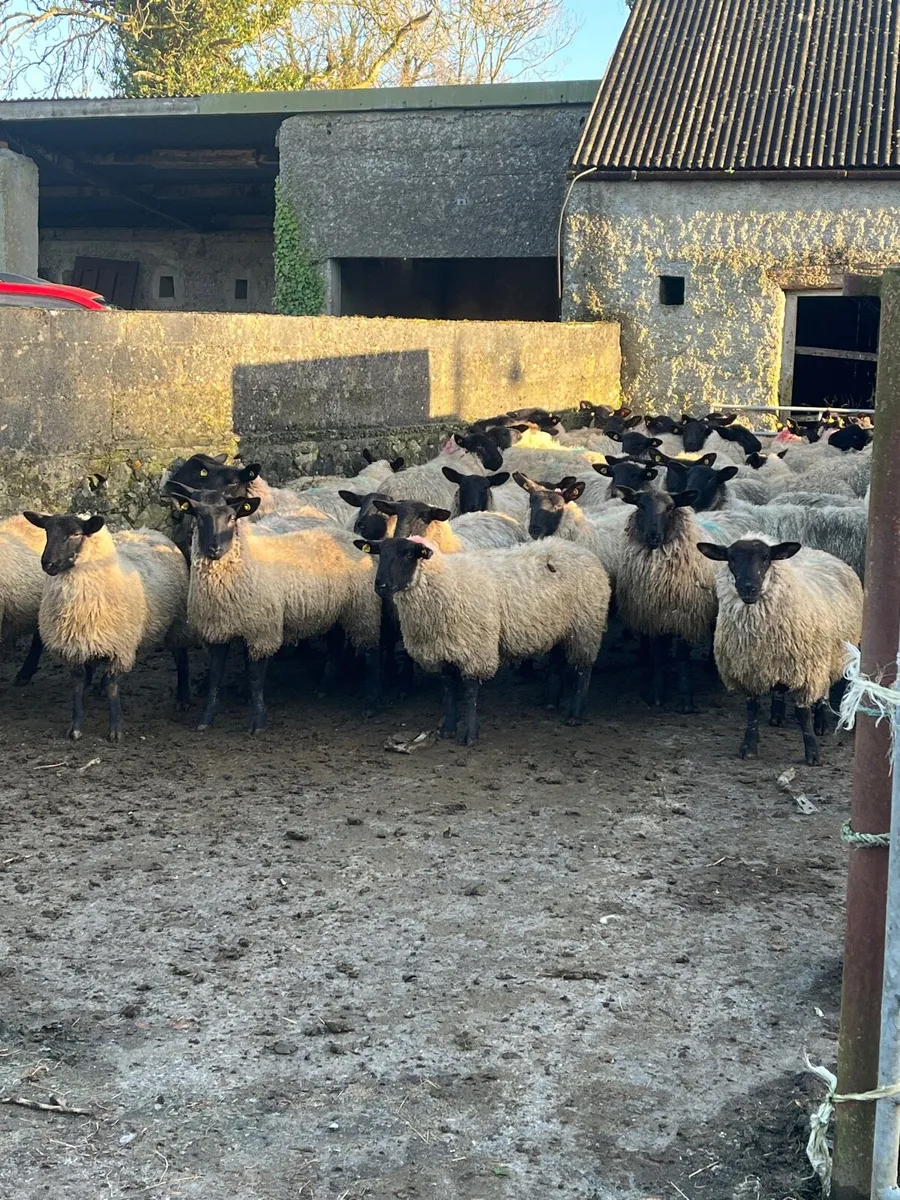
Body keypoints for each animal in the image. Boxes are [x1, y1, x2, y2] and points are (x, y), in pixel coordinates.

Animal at [23, 512, 189, 741]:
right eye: (47, 531)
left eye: (76, 534)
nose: (48, 564)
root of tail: (147, 530)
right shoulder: (74, 647)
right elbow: (78, 684)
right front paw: (76, 727)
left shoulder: (121, 648)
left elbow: (112, 686)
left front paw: (116, 729)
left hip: (177, 623)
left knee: (181, 657)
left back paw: (183, 698)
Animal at [172, 488, 381, 730]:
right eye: (198, 517)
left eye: (232, 518)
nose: (215, 549)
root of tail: (353, 538)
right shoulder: (218, 630)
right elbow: (216, 675)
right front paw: (206, 719)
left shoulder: (262, 630)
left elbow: (255, 677)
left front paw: (258, 721)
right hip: (336, 609)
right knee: (336, 645)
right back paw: (325, 686)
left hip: (363, 609)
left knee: (371, 654)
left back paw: (371, 703)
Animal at [356, 535, 611, 741]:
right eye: (380, 554)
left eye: (408, 554)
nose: (381, 586)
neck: (447, 582)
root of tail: (579, 549)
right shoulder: (442, 649)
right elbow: (449, 689)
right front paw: (448, 729)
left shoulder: (475, 648)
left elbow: (470, 692)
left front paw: (470, 735)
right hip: (562, 627)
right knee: (558, 659)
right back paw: (551, 701)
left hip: (586, 625)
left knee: (583, 668)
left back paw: (575, 714)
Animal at [696, 536, 863, 764]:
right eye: (731, 558)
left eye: (766, 558)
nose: (748, 588)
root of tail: (818, 551)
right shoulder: (749, 671)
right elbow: (752, 710)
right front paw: (749, 747)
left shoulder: (807, 671)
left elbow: (803, 714)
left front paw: (812, 753)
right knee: (779, 689)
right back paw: (777, 713)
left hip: (830, 656)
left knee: (825, 688)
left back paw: (821, 721)